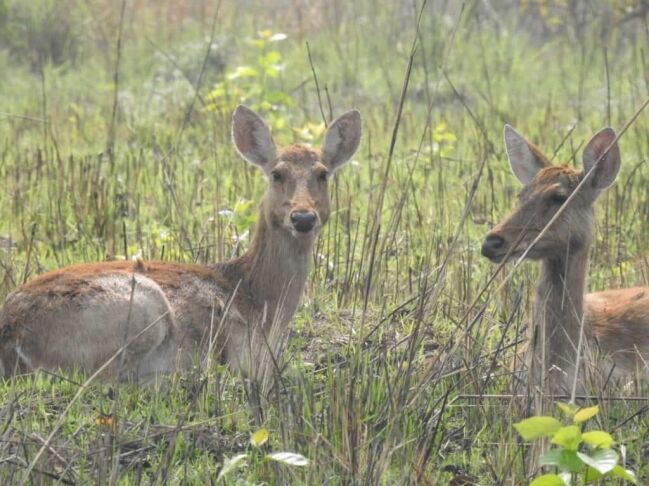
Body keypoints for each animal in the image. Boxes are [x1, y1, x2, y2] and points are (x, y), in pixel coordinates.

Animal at [0, 105, 362, 383]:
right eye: (276, 174)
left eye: (322, 174)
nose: (303, 218)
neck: (258, 299)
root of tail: (12, 334)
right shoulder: (245, 352)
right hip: (145, 306)